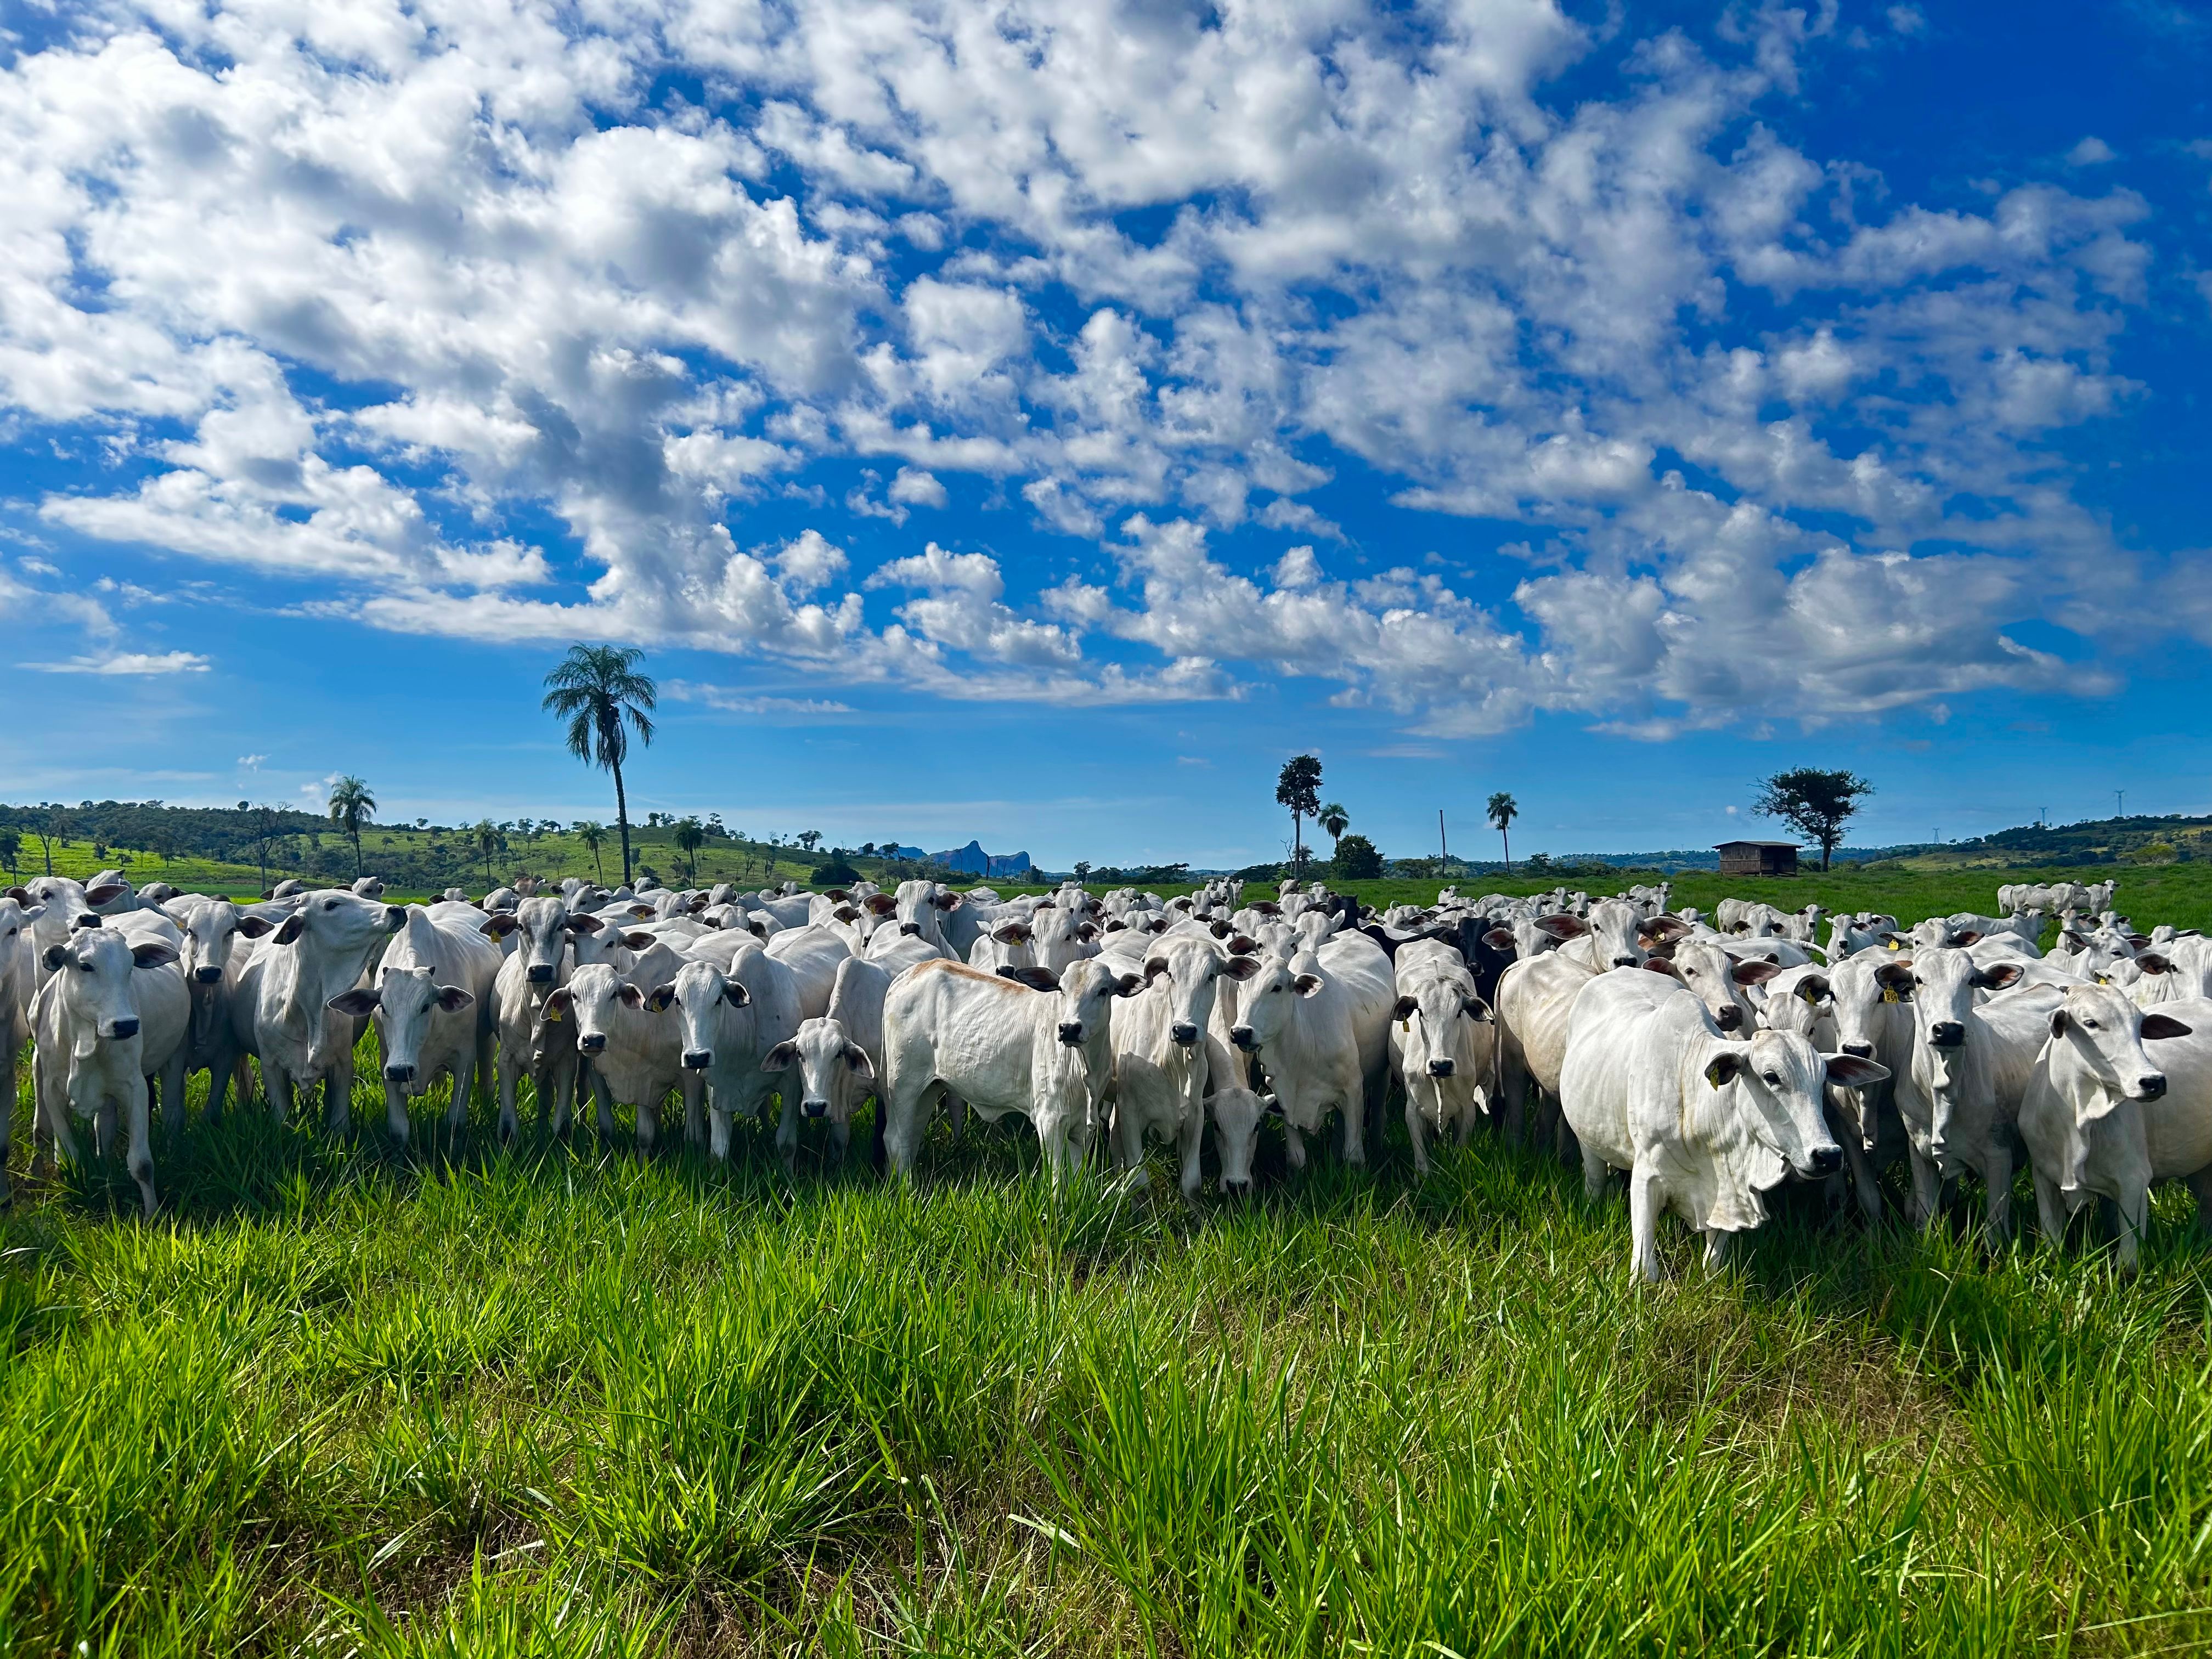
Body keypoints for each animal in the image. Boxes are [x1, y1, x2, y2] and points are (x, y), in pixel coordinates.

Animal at [1559, 970, 1877, 1281]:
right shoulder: (1646, 1176)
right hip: (1586, 1138)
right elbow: (1645, 1269)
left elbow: (1713, 1263)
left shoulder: (1729, 1189)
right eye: (1771, 1076)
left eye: (1823, 1081)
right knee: (1595, 1179)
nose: (1828, 1156)